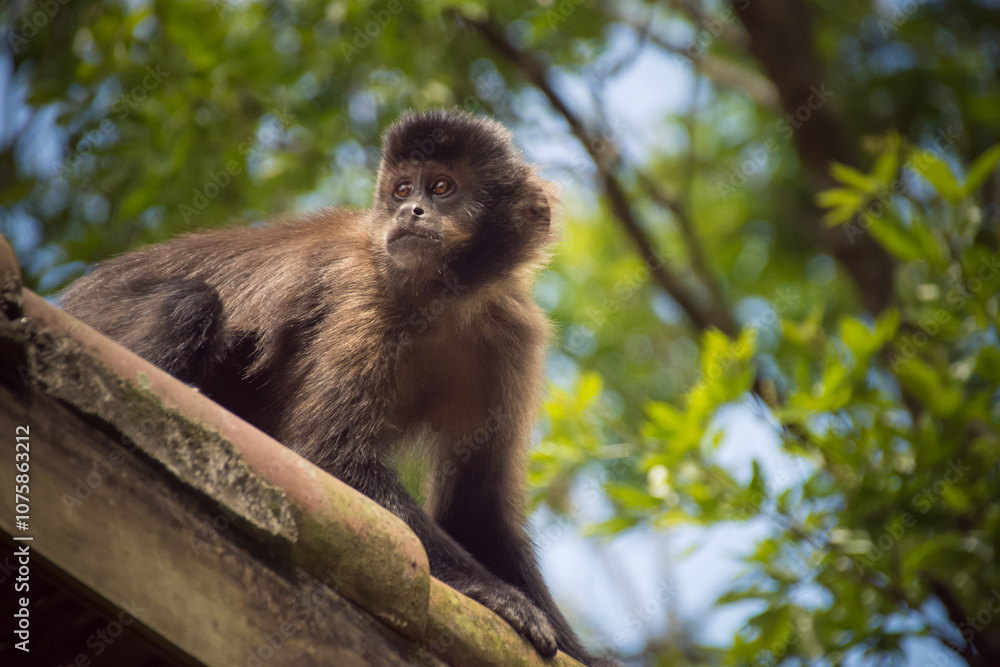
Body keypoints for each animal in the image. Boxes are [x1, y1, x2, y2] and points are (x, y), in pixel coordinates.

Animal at [61, 110, 616, 666]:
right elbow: (331, 458)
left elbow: (475, 510)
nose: (411, 210)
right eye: (402, 190)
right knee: (188, 303)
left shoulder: (511, 333)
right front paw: (501, 597)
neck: (442, 301)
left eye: (441, 188)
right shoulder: (362, 294)